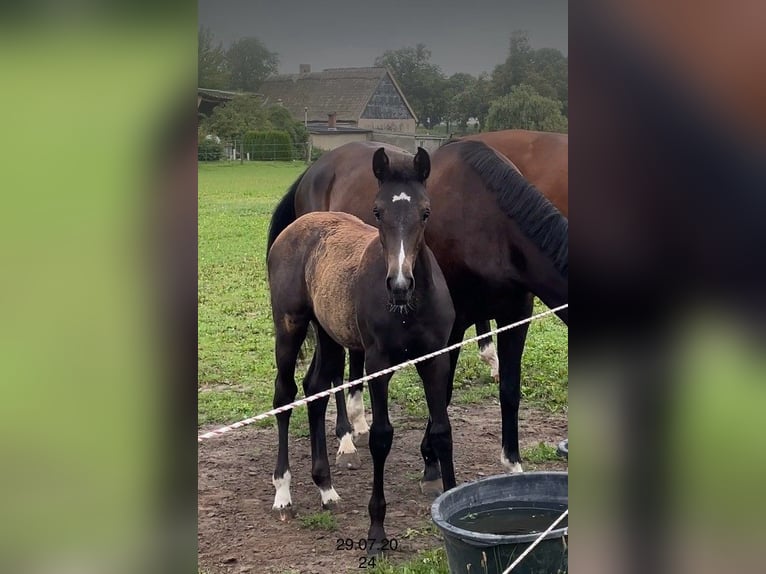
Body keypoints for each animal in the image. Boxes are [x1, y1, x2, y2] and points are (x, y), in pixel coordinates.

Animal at [268, 138, 568, 476]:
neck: (491, 226)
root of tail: (312, 171)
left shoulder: (516, 316)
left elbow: (509, 389)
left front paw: (513, 462)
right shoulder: (453, 328)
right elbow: (445, 393)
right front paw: (430, 460)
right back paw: (345, 437)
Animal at [268, 147, 456, 552]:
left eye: (426, 212)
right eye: (377, 211)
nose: (399, 284)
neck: (408, 307)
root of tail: (299, 225)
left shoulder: (435, 359)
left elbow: (441, 430)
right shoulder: (377, 363)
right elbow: (381, 437)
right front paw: (376, 531)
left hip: (327, 332)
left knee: (316, 388)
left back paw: (326, 488)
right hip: (289, 327)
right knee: (284, 396)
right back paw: (283, 493)